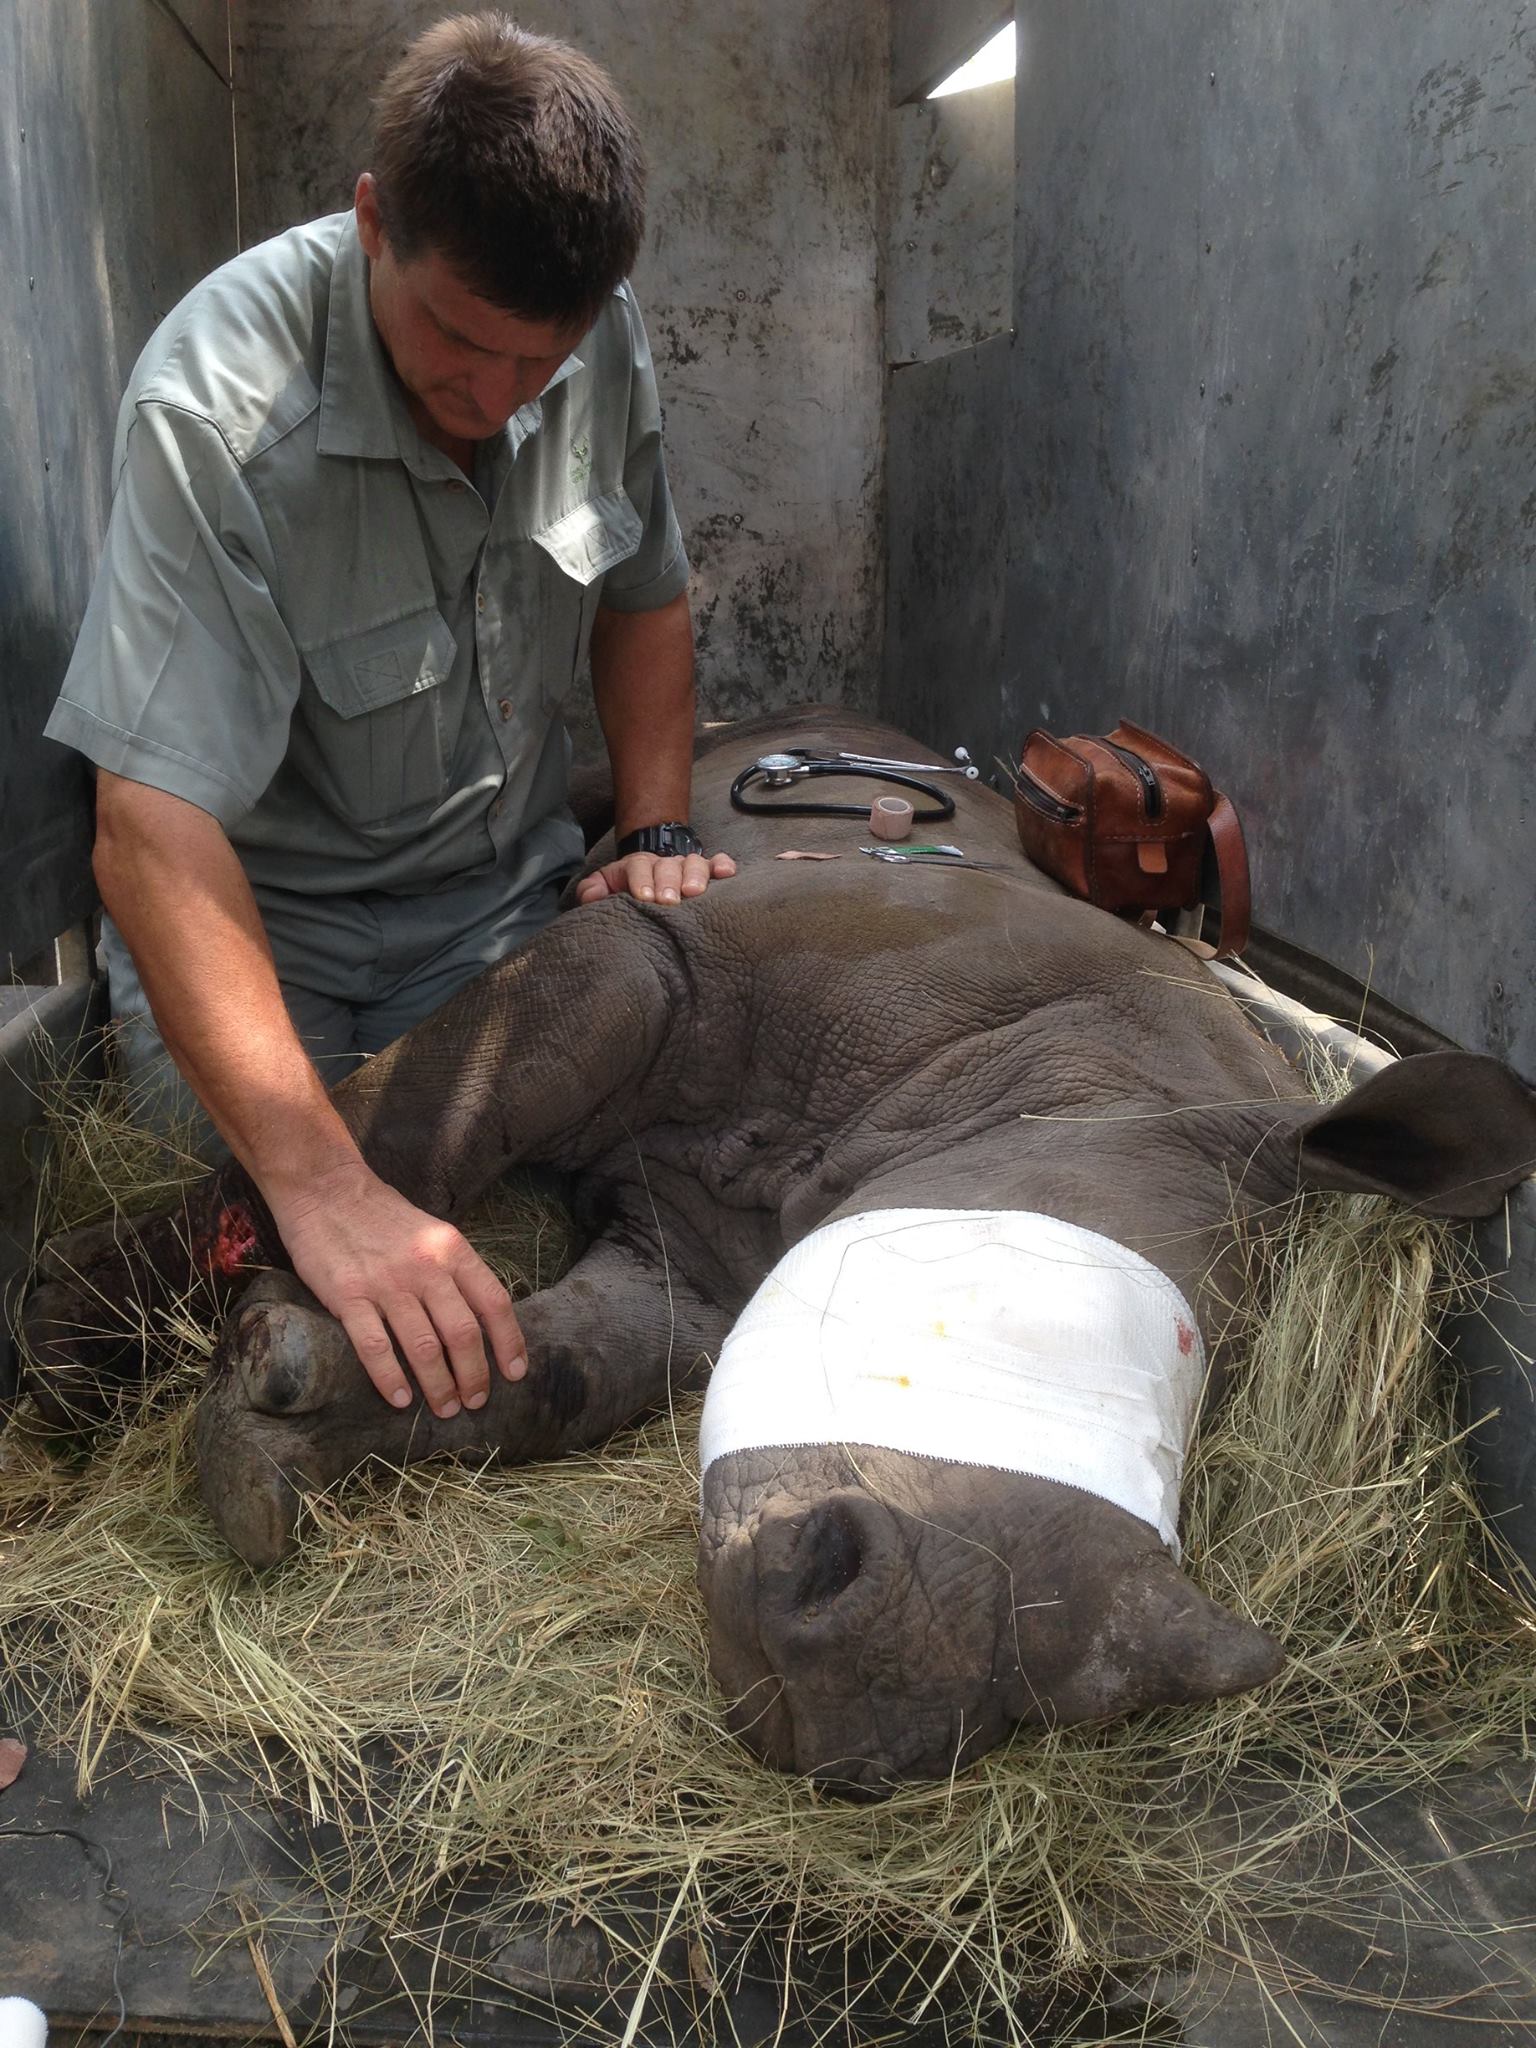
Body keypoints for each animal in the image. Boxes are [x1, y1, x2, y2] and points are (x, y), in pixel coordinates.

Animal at [20, 712, 1536, 1791]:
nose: (868, 1727)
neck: (1082, 1076)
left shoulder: (690, 1263)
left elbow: (556, 1372)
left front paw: (275, 1445)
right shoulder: (666, 950)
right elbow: (408, 1123)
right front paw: (130, 1355)